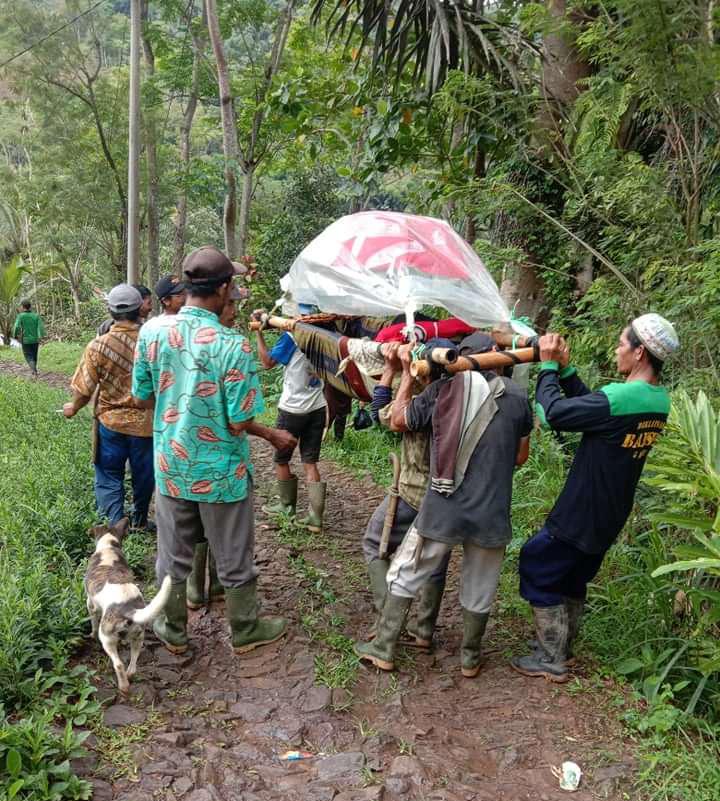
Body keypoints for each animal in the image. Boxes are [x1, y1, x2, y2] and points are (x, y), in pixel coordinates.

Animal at [85, 520, 171, 692]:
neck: (109, 546)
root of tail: (129, 609)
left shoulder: (90, 603)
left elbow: (93, 623)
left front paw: (91, 635)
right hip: (139, 637)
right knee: (133, 665)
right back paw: (130, 675)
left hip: (107, 638)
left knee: (118, 664)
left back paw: (123, 686)